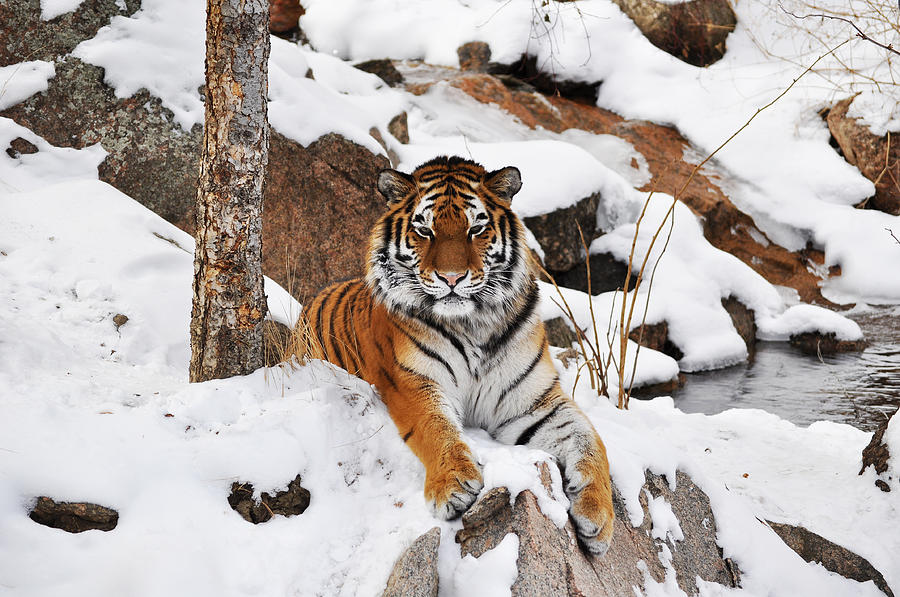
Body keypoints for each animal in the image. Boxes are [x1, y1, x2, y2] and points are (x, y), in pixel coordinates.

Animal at [298, 155, 616, 556]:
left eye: (476, 229)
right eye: (425, 231)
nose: (452, 278)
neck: (474, 322)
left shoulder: (533, 403)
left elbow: (590, 441)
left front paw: (599, 518)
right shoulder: (414, 383)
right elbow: (436, 429)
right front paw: (453, 486)